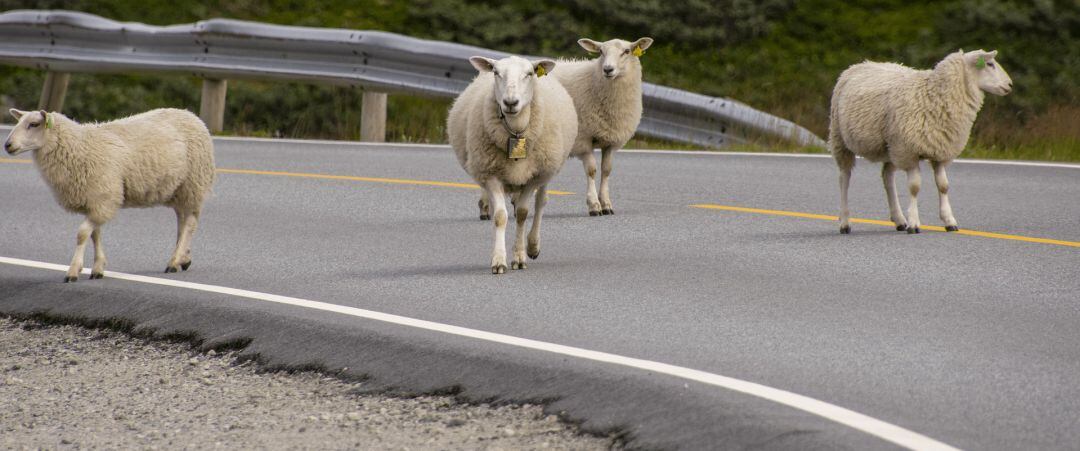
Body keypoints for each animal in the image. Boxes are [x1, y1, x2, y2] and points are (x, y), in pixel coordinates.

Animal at [3, 107, 218, 280]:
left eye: (33, 124)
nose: (7, 145)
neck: (80, 147)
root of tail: (192, 115)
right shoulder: (94, 200)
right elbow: (94, 234)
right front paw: (97, 268)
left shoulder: (103, 198)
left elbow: (82, 234)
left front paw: (73, 271)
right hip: (179, 189)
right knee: (183, 220)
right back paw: (183, 258)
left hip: (193, 183)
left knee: (190, 223)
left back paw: (174, 261)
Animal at [449, 56, 583, 275]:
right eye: (496, 72)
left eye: (529, 73)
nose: (510, 103)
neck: (517, 132)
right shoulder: (491, 174)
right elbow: (500, 216)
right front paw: (498, 260)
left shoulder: (534, 177)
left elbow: (522, 213)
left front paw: (520, 257)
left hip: (547, 168)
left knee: (540, 203)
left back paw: (533, 245)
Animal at [825, 49, 1010, 234]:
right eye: (990, 64)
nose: (1009, 85)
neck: (935, 95)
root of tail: (861, 64)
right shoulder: (909, 152)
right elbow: (914, 187)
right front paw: (914, 223)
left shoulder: (939, 151)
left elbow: (943, 186)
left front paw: (949, 221)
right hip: (841, 139)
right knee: (844, 178)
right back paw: (845, 222)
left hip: (891, 146)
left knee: (887, 177)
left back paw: (899, 220)